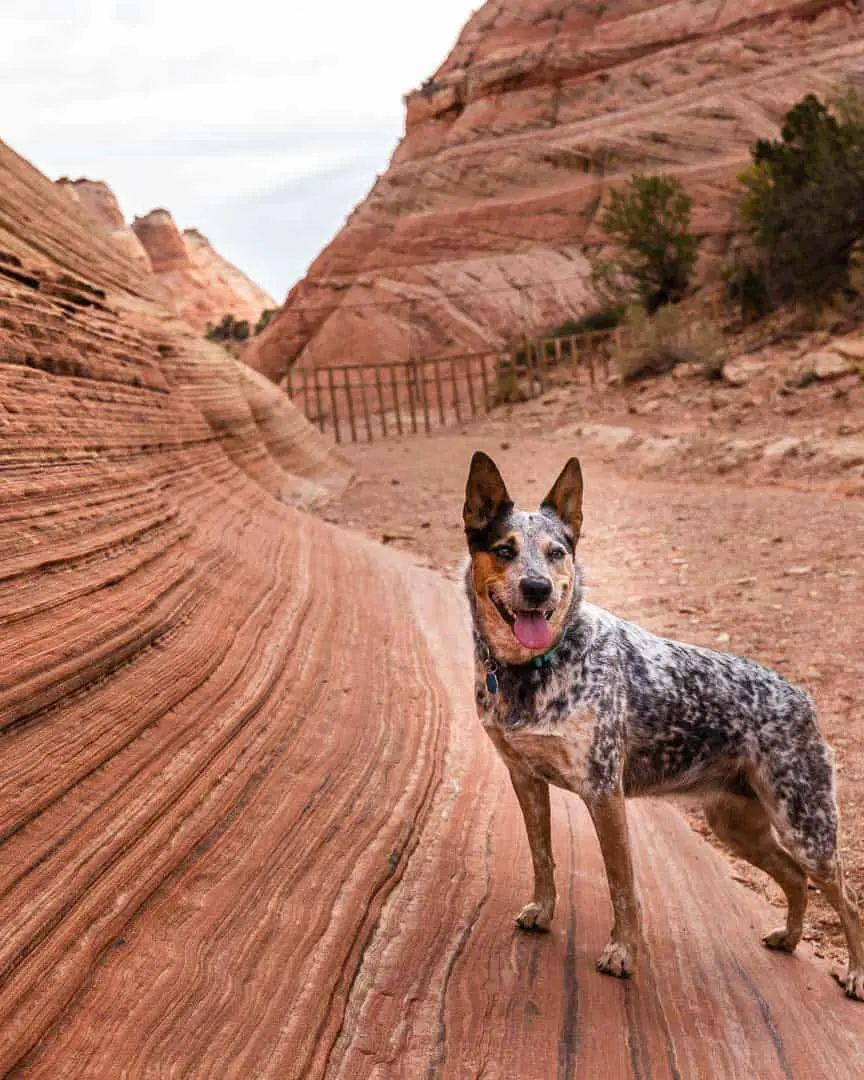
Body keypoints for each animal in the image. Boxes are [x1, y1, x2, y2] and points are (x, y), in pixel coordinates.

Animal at [466, 451, 864, 997]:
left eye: (556, 552)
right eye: (504, 550)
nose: (537, 588)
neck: (535, 666)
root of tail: (803, 697)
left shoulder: (603, 793)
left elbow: (622, 885)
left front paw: (622, 953)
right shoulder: (524, 778)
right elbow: (542, 856)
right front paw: (543, 912)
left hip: (806, 828)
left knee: (847, 901)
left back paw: (858, 974)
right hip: (736, 826)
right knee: (792, 877)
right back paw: (787, 938)